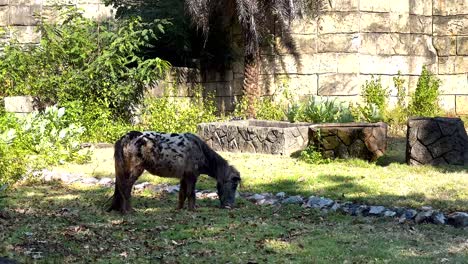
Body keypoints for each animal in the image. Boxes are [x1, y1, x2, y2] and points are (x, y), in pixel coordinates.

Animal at [106, 131, 241, 213]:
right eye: (234, 185)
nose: (229, 206)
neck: (201, 150)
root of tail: (126, 137)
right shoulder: (192, 176)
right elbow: (191, 194)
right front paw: (192, 210)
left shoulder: (184, 177)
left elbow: (182, 194)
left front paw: (179, 209)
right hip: (135, 169)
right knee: (126, 188)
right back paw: (129, 210)